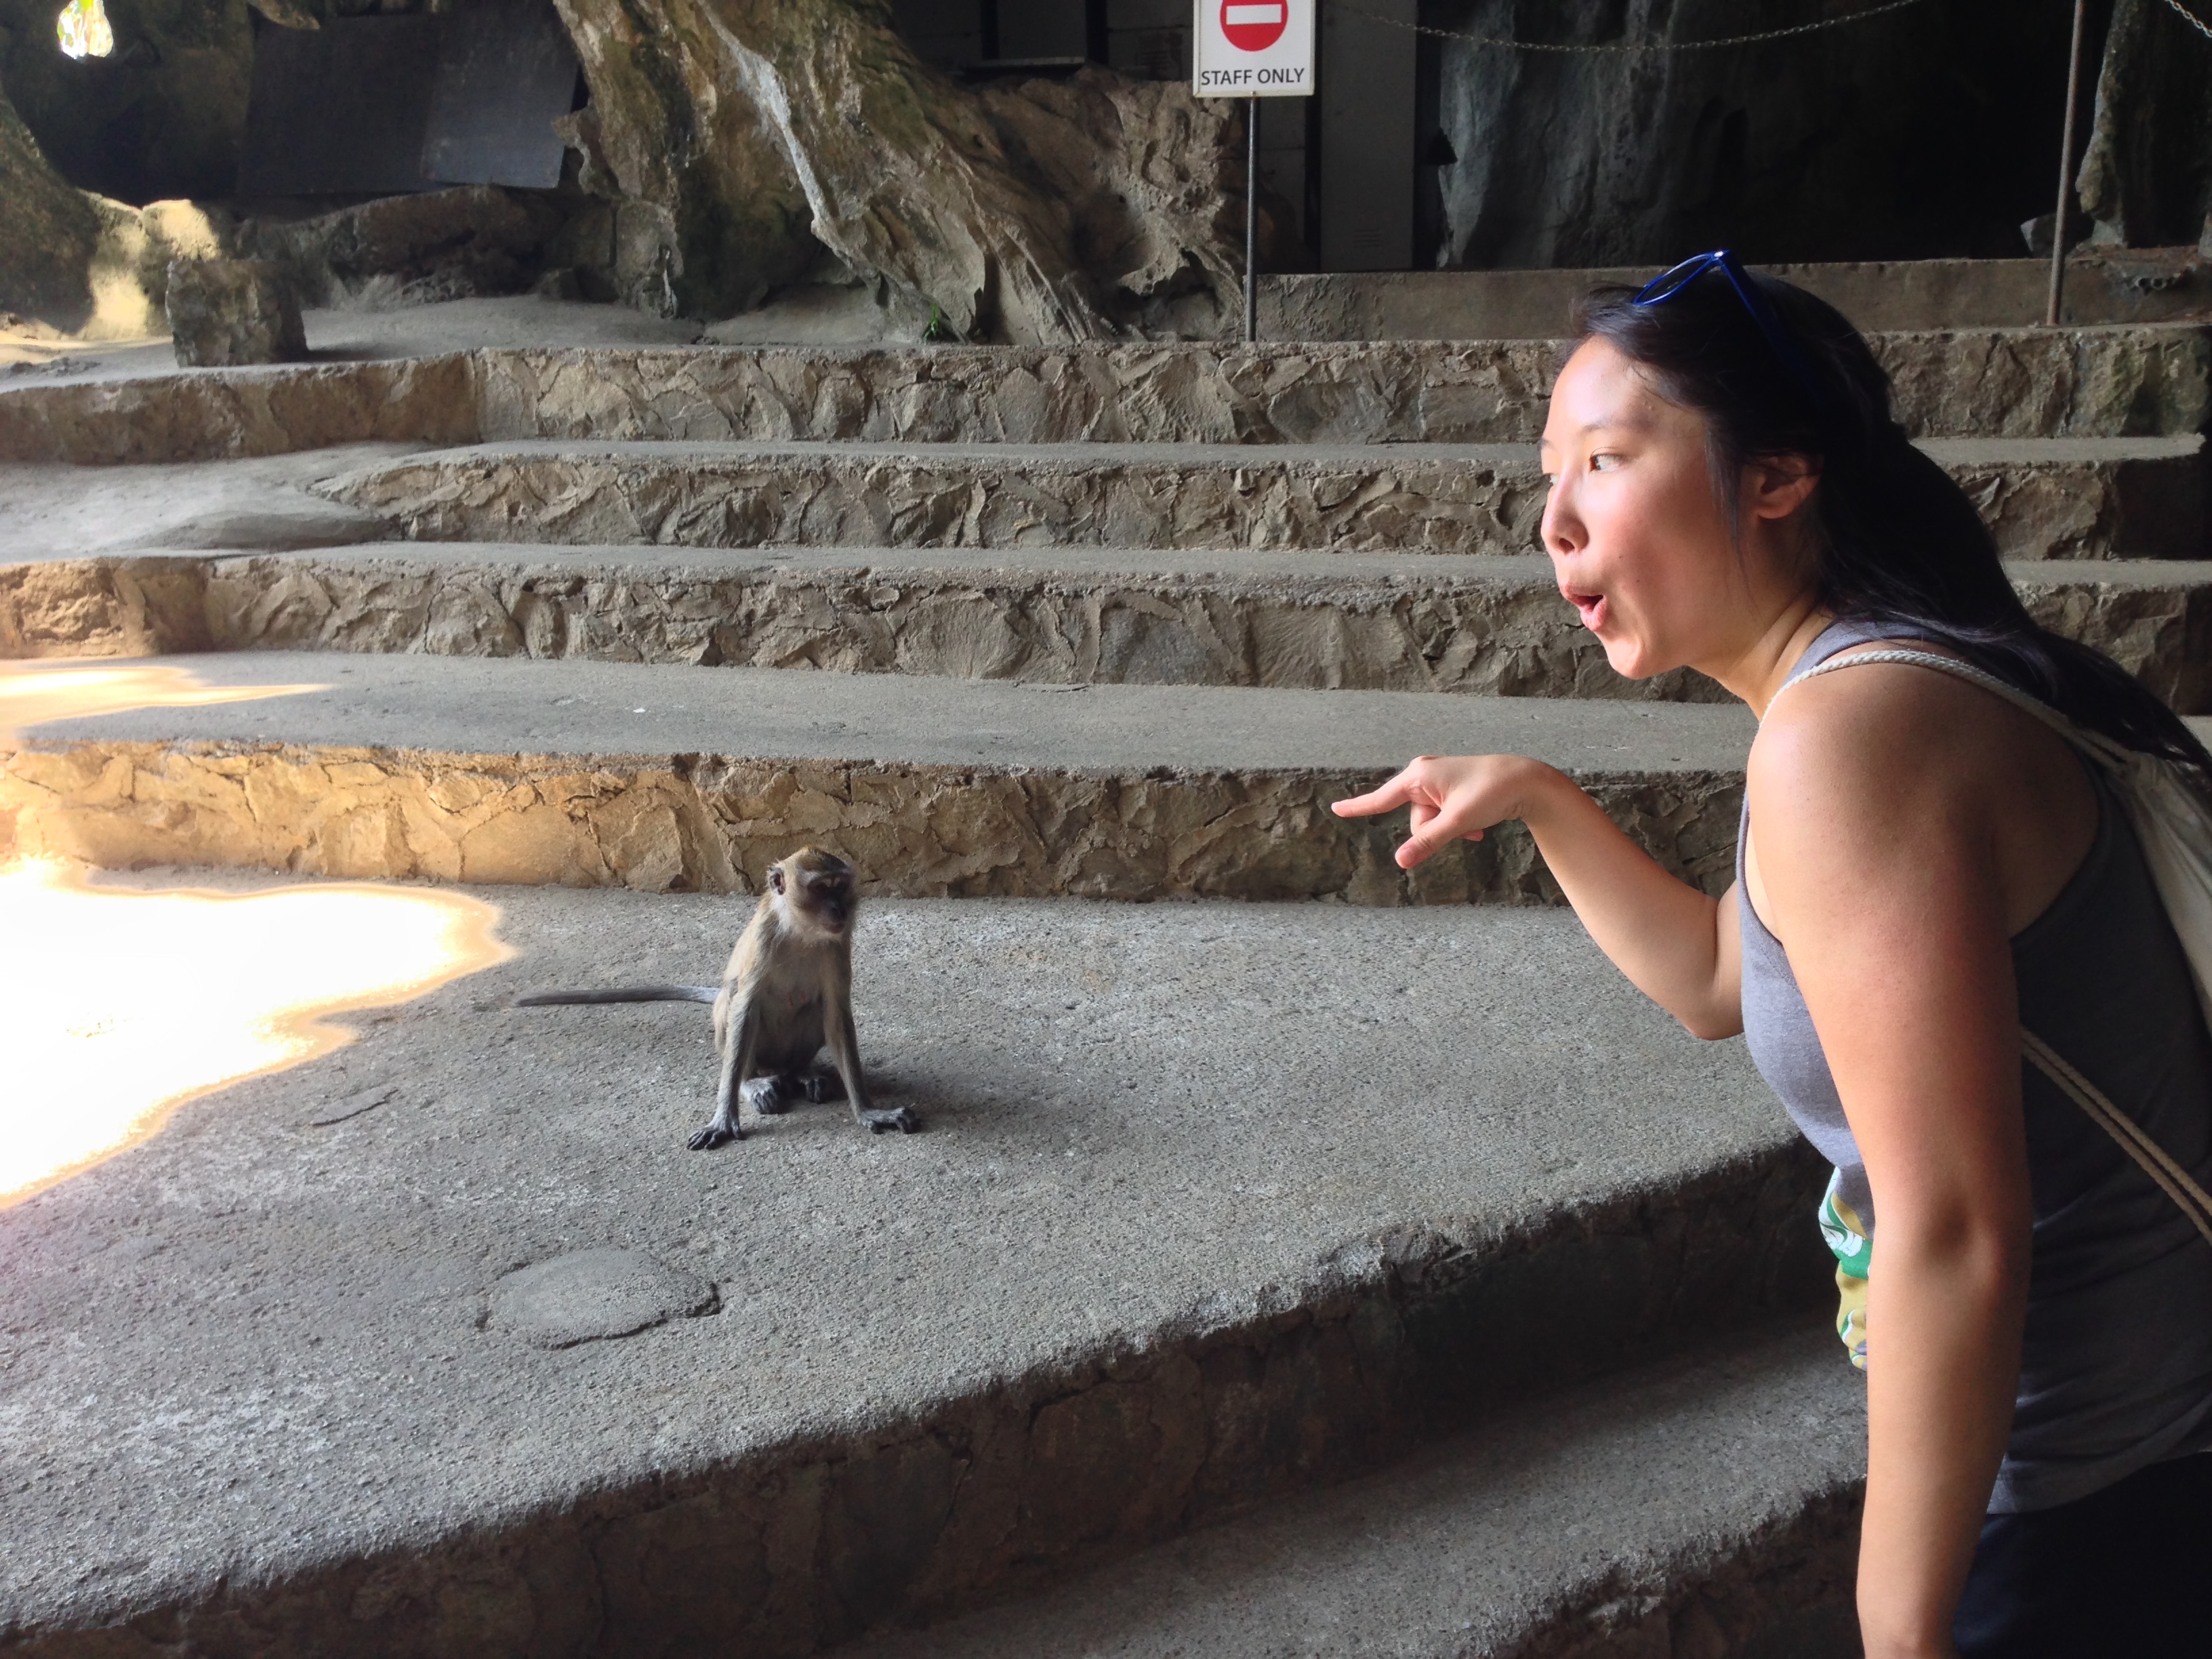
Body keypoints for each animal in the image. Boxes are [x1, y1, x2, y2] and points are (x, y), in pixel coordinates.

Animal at [516, 847, 918, 1148]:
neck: (800, 932)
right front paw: (724, 1116)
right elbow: (747, 1007)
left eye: (839, 887)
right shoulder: (765, 939)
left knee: (809, 1012)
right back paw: (752, 1081)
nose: (838, 909)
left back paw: (801, 1073)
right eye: (820, 890)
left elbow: (835, 1012)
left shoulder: (838, 943)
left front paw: (867, 1110)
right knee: (732, 1002)